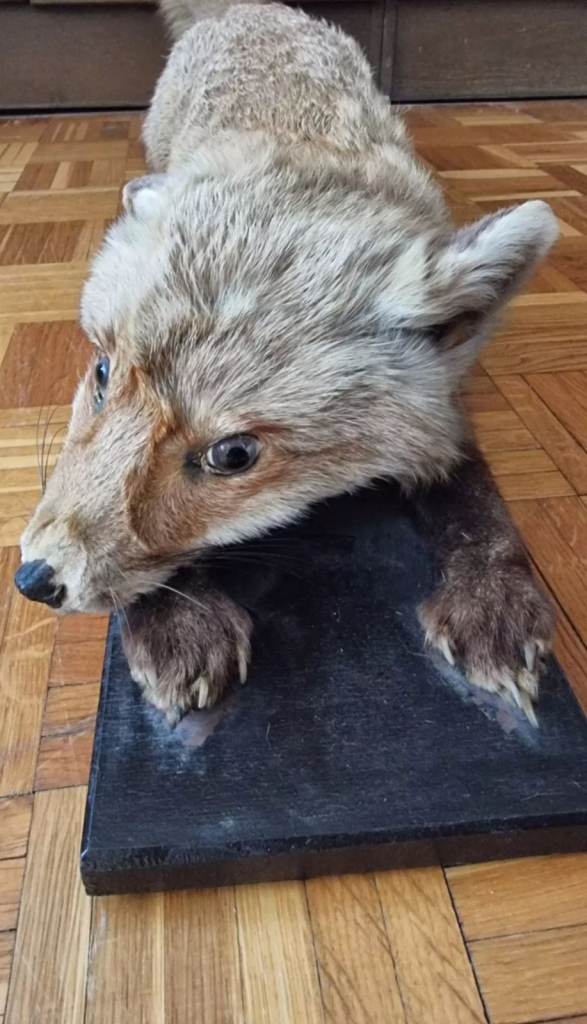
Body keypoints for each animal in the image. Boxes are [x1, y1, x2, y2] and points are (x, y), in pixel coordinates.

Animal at [16, 0, 557, 724]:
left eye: (232, 456)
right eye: (101, 373)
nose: (33, 578)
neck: (299, 152)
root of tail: (250, 8)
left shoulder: (446, 402)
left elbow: (477, 497)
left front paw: (492, 594)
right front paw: (174, 618)